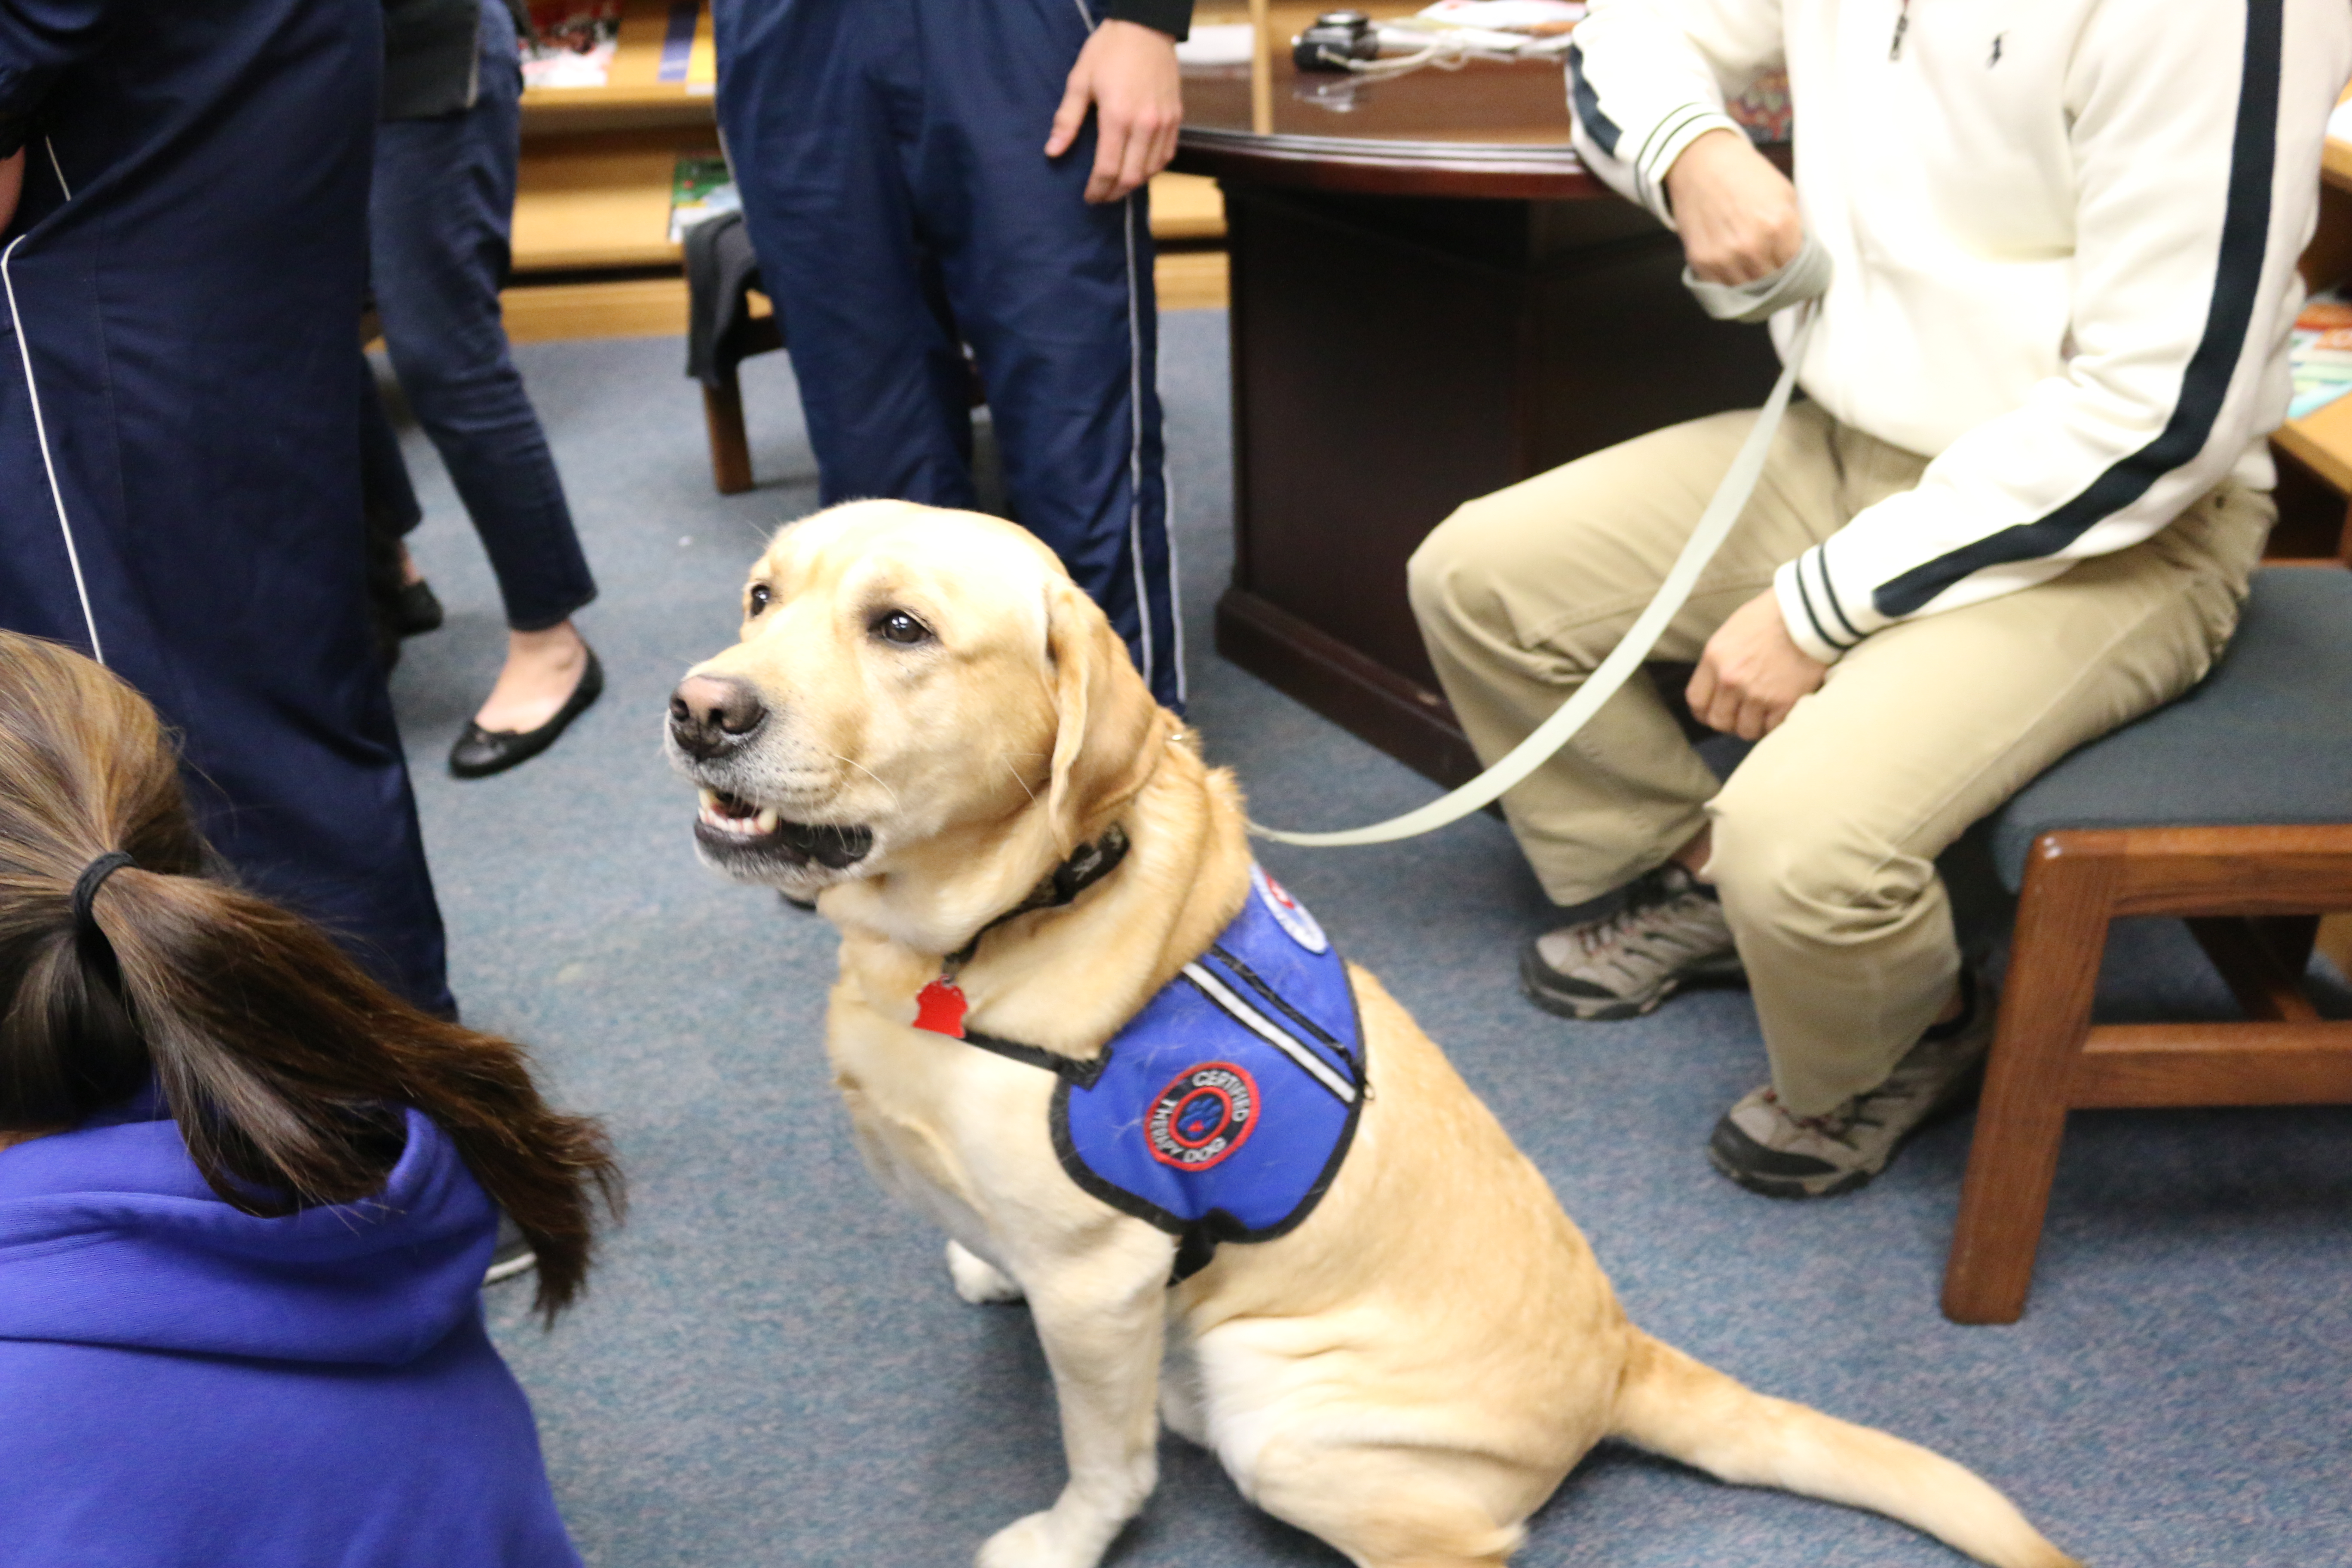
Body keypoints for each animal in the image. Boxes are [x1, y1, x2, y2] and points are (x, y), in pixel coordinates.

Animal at [663, 505, 2079, 1568]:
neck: (984, 932)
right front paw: (979, 1262)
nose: (698, 708)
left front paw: (1062, 1539)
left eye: (900, 627)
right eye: (760, 597)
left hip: (1281, 1414)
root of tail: (1622, 1361)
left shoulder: (1103, 1283)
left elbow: (1103, 1462)